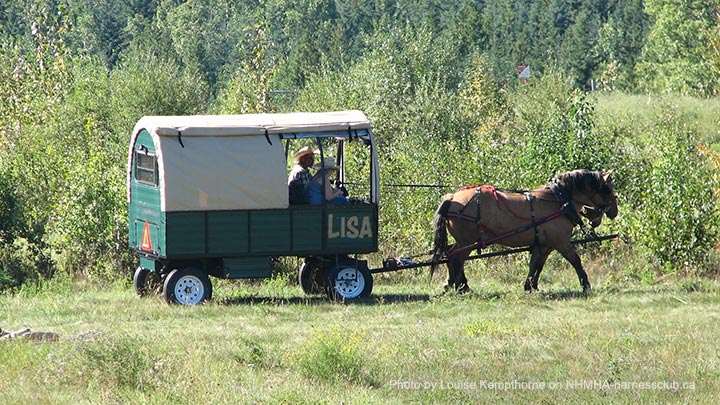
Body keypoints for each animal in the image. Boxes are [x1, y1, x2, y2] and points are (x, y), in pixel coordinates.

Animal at [430, 170, 618, 293]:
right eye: (608, 189)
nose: (614, 212)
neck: (558, 201)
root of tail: (452, 198)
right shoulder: (561, 242)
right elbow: (576, 261)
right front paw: (586, 285)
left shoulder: (545, 244)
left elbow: (537, 264)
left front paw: (531, 286)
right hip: (467, 241)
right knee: (457, 259)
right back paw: (461, 286)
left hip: (464, 241)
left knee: (450, 254)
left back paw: (454, 284)